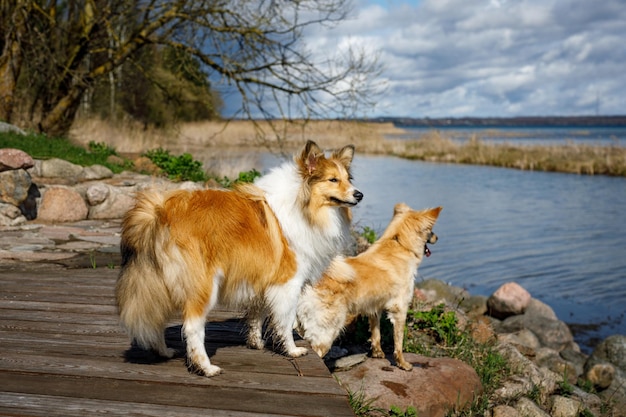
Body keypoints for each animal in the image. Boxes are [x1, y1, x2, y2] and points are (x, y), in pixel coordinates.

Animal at [116, 141, 360, 376]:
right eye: (333, 179)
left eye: (348, 179)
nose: (359, 194)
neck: (302, 204)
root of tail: (160, 211)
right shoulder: (288, 283)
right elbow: (285, 321)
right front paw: (291, 350)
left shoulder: (263, 279)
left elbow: (257, 314)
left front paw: (256, 343)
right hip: (204, 286)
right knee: (193, 328)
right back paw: (206, 368)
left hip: (161, 281)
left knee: (155, 318)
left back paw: (163, 351)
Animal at [296, 203, 438, 368]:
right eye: (430, 230)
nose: (437, 237)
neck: (399, 243)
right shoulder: (400, 309)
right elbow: (398, 342)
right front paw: (402, 364)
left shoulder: (374, 306)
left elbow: (376, 333)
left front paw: (377, 353)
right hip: (327, 331)